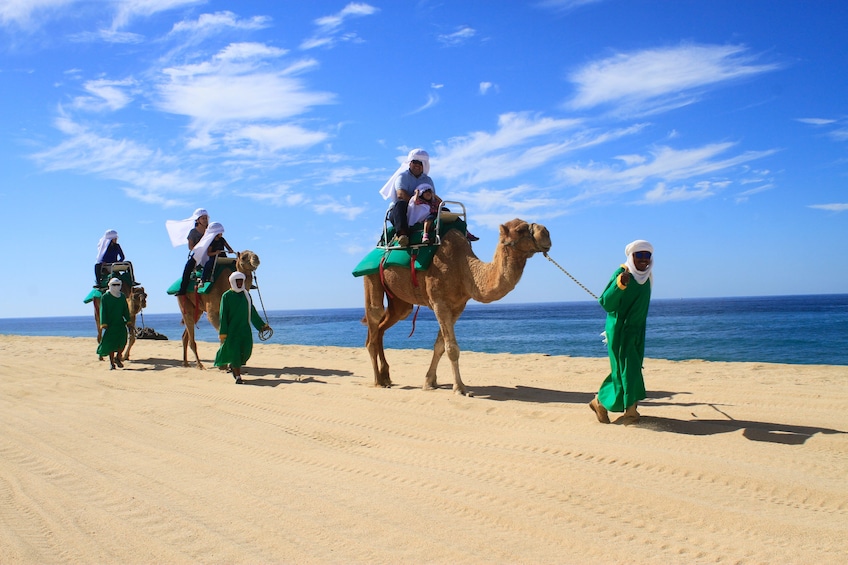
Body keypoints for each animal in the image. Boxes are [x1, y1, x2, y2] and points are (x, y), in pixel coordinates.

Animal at [362, 218, 548, 394]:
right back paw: (378, 380)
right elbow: (451, 348)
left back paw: (386, 377)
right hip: (371, 276)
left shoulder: (458, 306)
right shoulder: (440, 303)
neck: (464, 267)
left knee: (385, 324)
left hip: (400, 301)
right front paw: (459, 388)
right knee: (374, 317)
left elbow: (439, 346)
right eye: (520, 229)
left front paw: (429, 382)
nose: (546, 233)